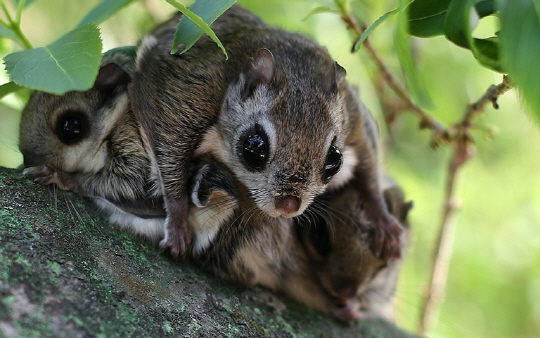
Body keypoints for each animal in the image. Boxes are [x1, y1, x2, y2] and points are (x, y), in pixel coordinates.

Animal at [129, 3, 402, 258]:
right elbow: (169, 147)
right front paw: (178, 224)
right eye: (254, 147)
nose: (288, 205)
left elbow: (368, 162)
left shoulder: (352, 117)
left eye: (335, 159)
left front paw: (382, 217)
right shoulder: (188, 94)